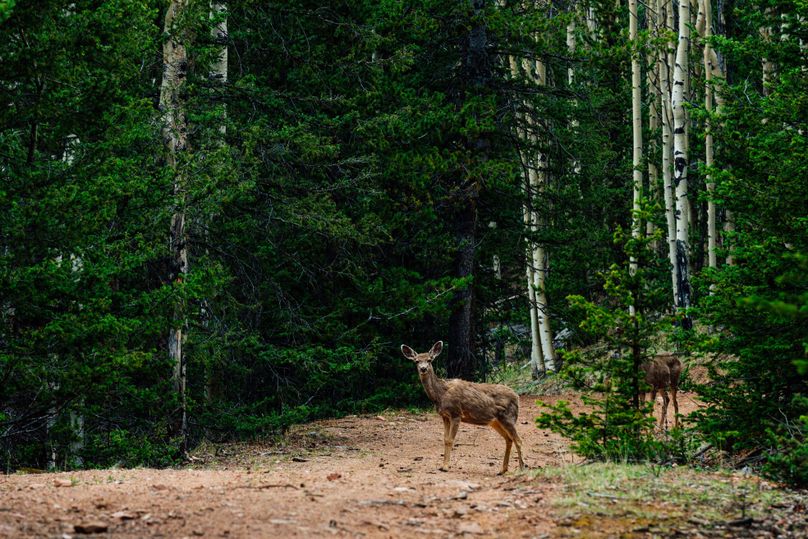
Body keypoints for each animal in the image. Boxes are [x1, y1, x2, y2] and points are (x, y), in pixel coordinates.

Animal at [400, 341, 526, 475]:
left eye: (429, 360)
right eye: (416, 361)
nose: (423, 368)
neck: (441, 394)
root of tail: (517, 396)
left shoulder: (456, 413)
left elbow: (450, 440)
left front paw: (445, 467)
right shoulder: (444, 416)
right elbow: (445, 439)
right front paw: (442, 465)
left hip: (508, 417)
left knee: (518, 440)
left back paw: (522, 468)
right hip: (495, 421)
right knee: (509, 439)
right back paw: (503, 469)